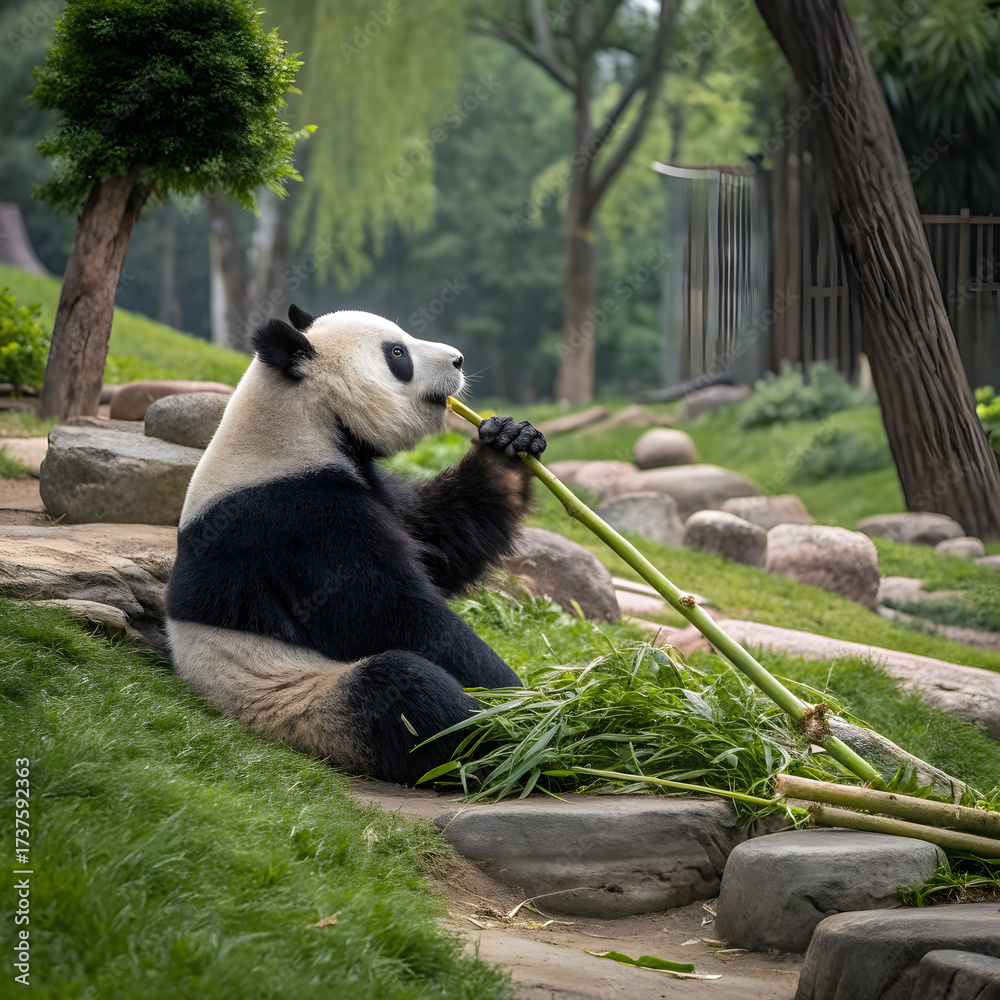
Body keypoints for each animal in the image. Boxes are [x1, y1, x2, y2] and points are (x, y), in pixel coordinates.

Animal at [165, 306, 546, 785]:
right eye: (397, 354)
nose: (458, 359)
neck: (300, 423)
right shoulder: (296, 520)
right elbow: (387, 613)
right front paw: (518, 696)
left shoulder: (370, 482)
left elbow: (441, 537)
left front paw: (509, 442)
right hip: (297, 698)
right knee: (404, 693)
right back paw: (523, 742)